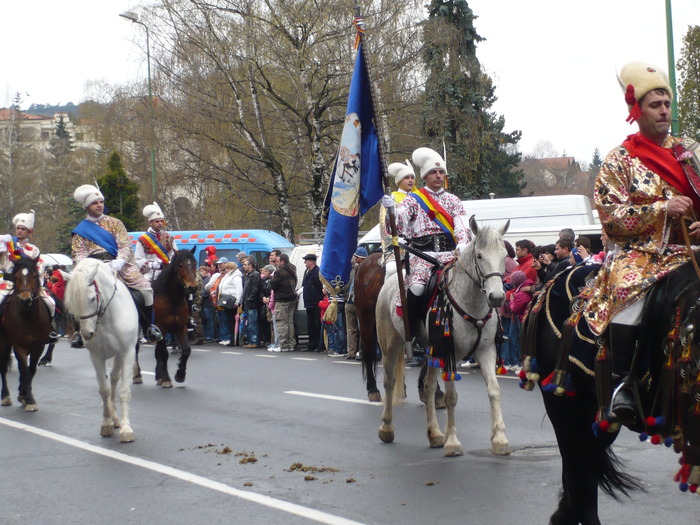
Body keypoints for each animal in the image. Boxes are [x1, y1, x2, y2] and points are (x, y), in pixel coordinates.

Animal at [0, 256, 51, 412]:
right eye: (16, 277)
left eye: (34, 276)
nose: (26, 300)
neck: (28, 316)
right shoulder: (19, 346)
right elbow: (25, 371)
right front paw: (29, 400)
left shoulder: (38, 345)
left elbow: (30, 370)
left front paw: (24, 396)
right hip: (3, 344)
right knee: (3, 367)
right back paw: (5, 396)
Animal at [63, 258, 139, 442]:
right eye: (73, 301)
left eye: (92, 298)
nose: (87, 334)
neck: (106, 318)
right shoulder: (96, 356)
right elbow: (104, 390)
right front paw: (107, 424)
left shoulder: (127, 353)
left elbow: (124, 391)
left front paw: (126, 429)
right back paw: (114, 418)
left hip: (119, 355)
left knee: (115, 378)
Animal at [134, 248, 197, 386]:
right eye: (180, 265)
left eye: (195, 263)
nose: (192, 288)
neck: (172, 300)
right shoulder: (160, 328)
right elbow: (163, 353)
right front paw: (167, 379)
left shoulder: (181, 328)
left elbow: (186, 350)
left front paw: (180, 375)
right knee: (135, 348)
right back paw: (137, 375)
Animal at [378, 215, 508, 456]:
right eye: (480, 256)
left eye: (505, 256)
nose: (496, 297)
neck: (471, 303)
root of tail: (390, 279)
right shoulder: (450, 353)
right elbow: (451, 397)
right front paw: (453, 442)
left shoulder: (486, 351)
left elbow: (494, 390)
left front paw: (500, 439)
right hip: (390, 346)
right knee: (389, 382)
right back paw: (387, 429)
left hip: (432, 353)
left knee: (428, 387)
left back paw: (435, 434)